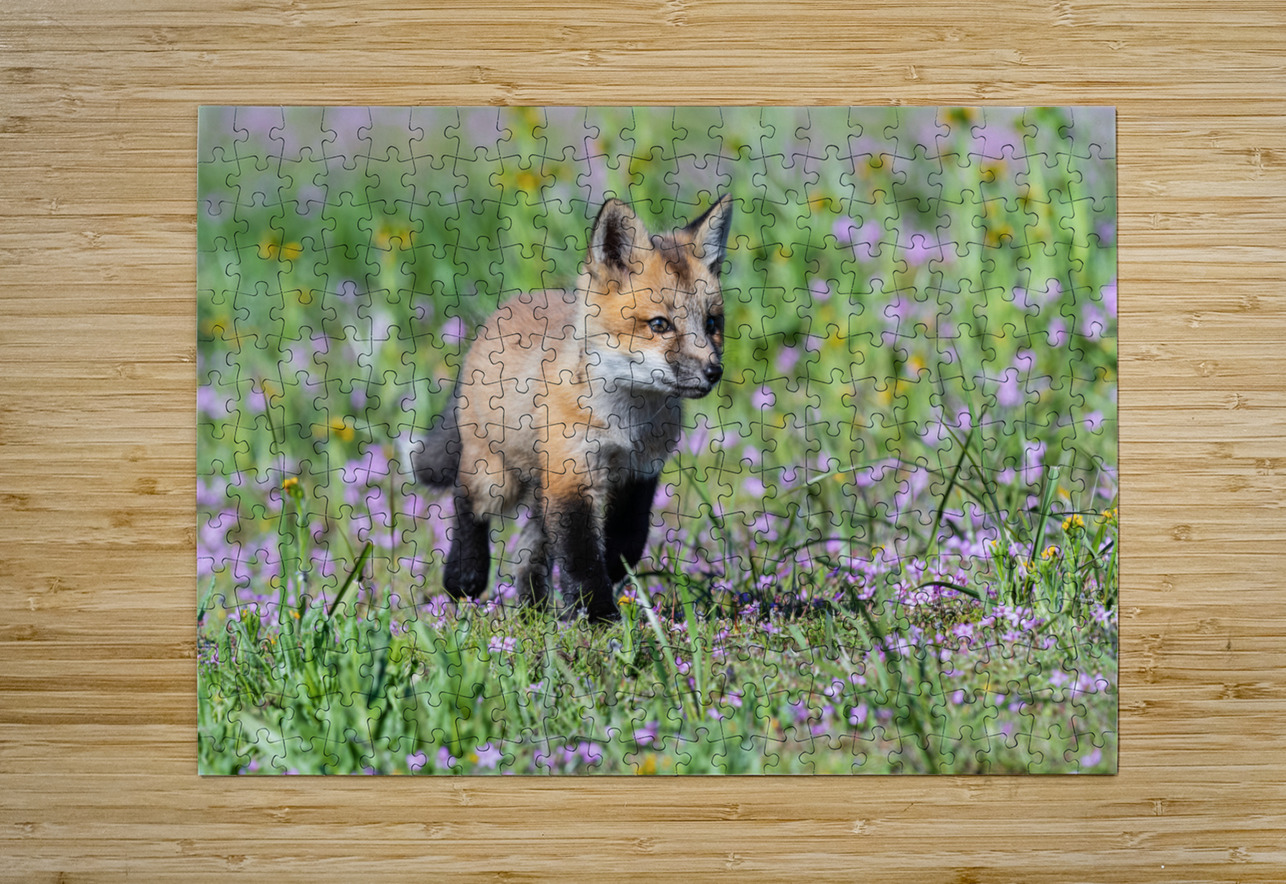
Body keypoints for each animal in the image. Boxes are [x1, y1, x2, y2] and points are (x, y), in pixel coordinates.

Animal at [409, 195, 732, 622]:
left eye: (712, 323)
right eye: (660, 324)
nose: (713, 371)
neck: (624, 423)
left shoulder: (640, 472)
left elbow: (627, 541)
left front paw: (606, 579)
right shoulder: (571, 474)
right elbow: (580, 554)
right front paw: (599, 615)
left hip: (538, 487)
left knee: (529, 549)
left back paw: (532, 610)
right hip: (496, 477)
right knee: (466, 502)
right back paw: (465, 575)